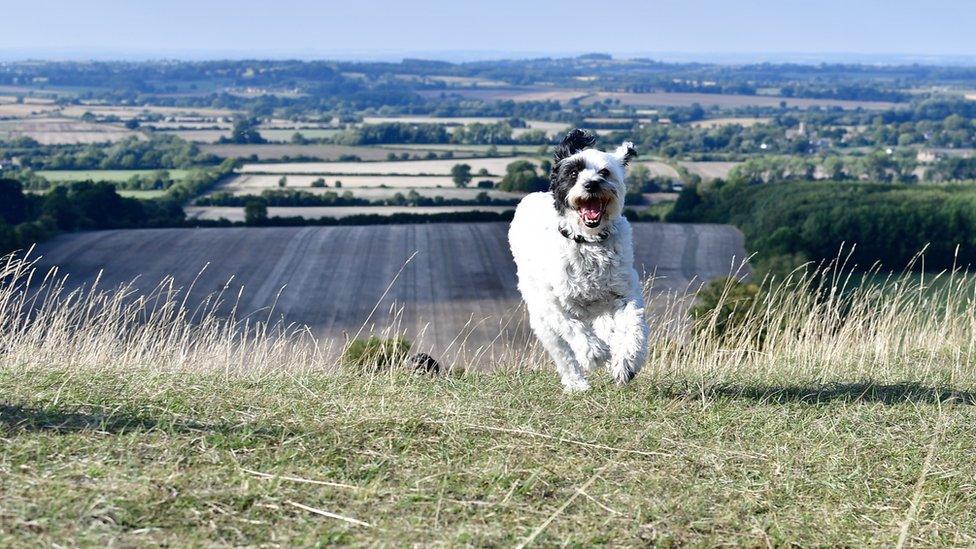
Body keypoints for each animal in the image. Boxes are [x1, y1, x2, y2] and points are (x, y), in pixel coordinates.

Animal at [510, 128, 648, 390]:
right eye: (573, 173)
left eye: (605, 172)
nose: (592, 184)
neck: (588, 241)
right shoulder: (553, 303)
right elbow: (573, 329)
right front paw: (595, 353)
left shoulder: (624, 293)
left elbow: (633, 326)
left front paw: (626, 362)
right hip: (541, 319)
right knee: (564, 354)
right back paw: (576, 383)